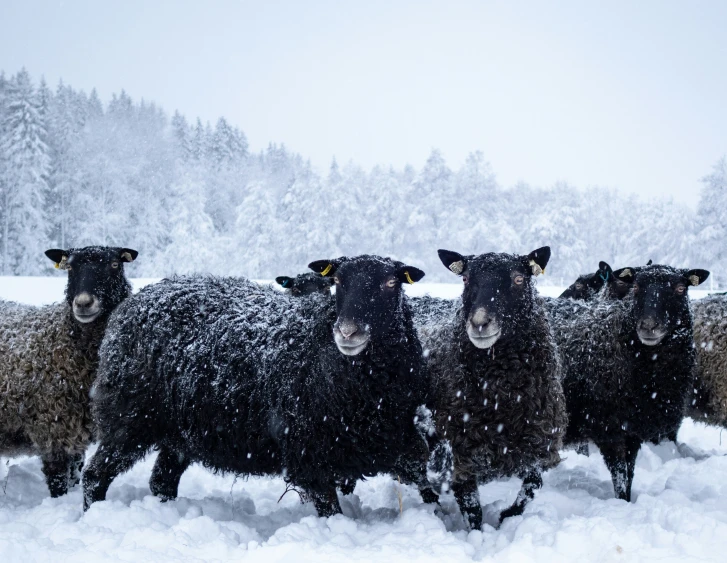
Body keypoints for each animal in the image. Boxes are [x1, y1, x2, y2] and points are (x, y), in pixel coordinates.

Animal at [85, 256, 438, 516]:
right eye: (338, 282)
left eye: (391, 283)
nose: (348, 332)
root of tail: (131, 303)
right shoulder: (308, 454)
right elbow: (332, 510)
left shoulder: (396, 437)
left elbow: (426, 481)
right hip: (129, 418)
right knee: (95, 475)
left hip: (180, 432)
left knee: (162, 481)